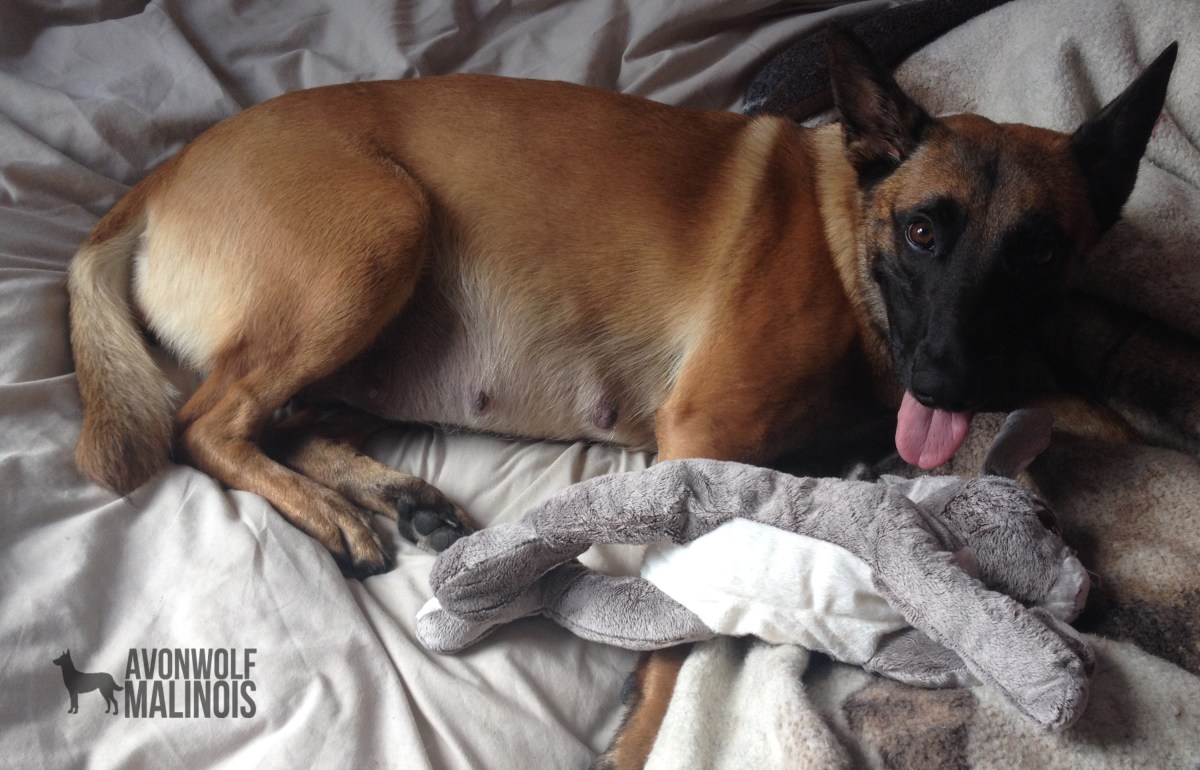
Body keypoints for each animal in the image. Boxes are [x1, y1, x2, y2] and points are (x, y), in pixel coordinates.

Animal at [67, 26, 1175, 767]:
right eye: (922, 232)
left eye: (1039, 252)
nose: (945, 380)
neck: (843, 233)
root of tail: (156, 179)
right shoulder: (704, 439)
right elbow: (690, 623)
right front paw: (643, 733)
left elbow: (1089, 406)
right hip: (382, 234)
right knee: (204, 423)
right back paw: (334, 512)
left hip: (380, 343)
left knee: (283, 422)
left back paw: (391, 494)